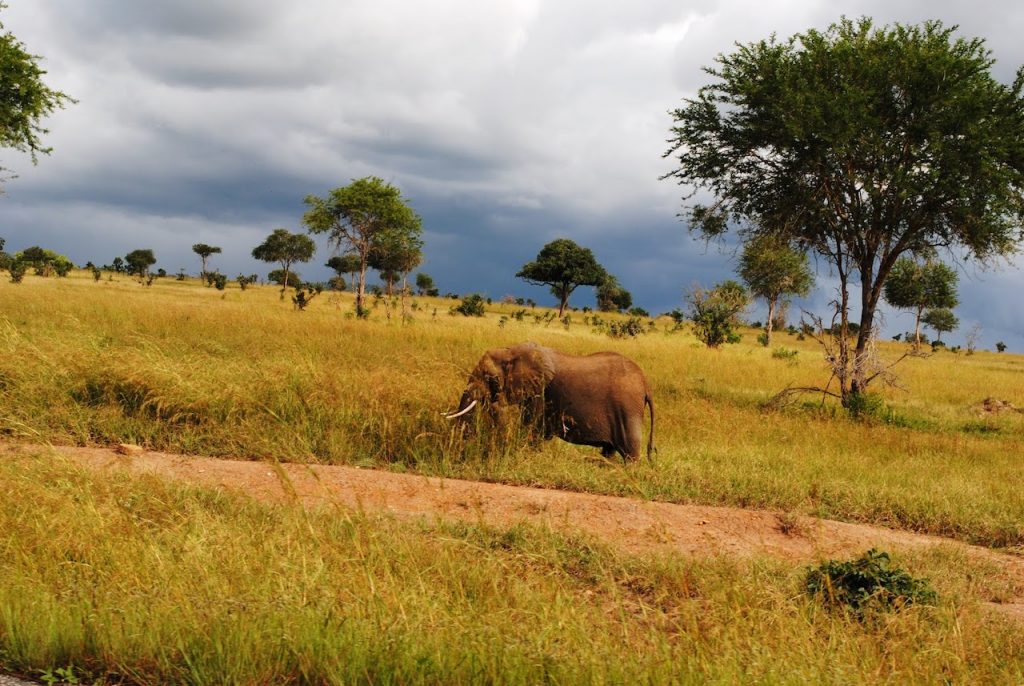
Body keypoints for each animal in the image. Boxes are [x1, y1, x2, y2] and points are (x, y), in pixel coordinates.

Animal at [442, 341, 655, 462]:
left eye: (489, 378)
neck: (511, 351)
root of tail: (646, 383)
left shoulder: (541, 391)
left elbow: (531, 425)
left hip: (628, 407)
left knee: (630, 450)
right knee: (609, 450)